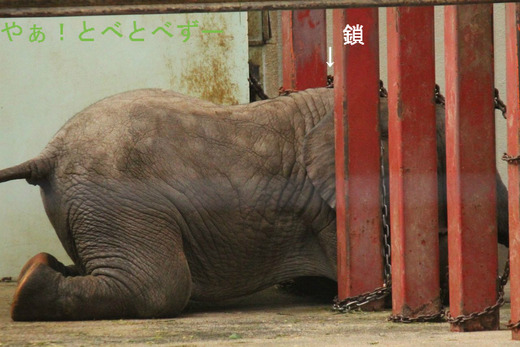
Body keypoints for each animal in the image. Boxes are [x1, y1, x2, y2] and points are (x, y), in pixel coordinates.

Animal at [0, 88, 508, 322]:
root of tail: (50, 152)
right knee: (159, 286)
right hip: (119, 201)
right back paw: (27, 288)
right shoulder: (331, 210)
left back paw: (34, 272)